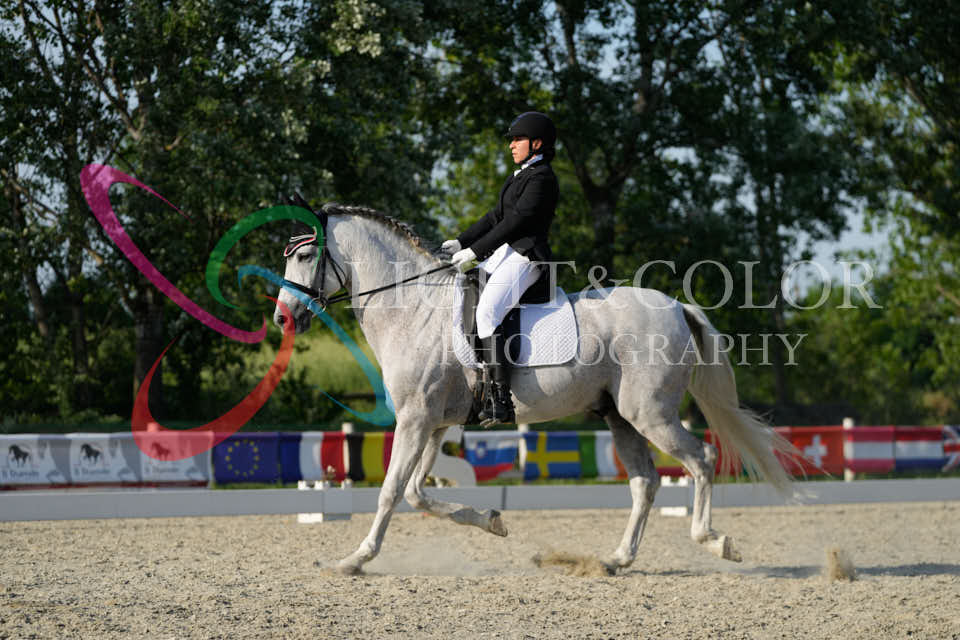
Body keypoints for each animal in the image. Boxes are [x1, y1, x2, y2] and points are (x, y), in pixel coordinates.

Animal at [273, 203, 797, 575]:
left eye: (305, 256)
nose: (282, 317)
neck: (413, 308)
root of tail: (675, 306)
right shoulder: (435, 423)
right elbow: (418, 493)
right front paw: (491, 521)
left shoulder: (416, 419)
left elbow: (391, 491)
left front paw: (355, 559)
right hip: (620, 417)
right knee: (645, 482)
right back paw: (616, 559)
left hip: (650, 414)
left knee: (701, 460)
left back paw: (715, 541)